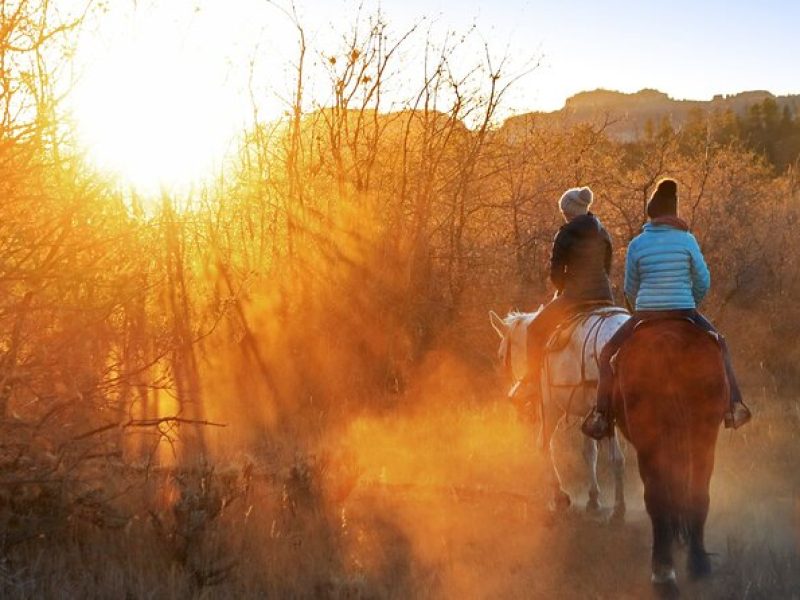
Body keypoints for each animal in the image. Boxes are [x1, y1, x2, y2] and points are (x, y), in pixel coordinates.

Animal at [488, 308, 632, 516]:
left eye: (500, 355)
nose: (515, 396)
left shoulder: (550, 406)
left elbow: (543, 445)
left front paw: (559, 495)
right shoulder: (587, 412)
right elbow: (589, 452)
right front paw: (593, 498)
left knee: (619, 458)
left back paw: (619, 507)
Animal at [612, 322, 732, 592]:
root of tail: (667, 342)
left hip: (651, 440)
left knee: (658, 497)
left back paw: (663, 571)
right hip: (702, 434)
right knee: (696, 491)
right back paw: (696, 563)